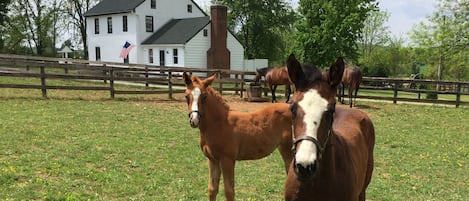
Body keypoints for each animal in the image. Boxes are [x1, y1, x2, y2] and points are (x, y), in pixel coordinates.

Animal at [182, 72, 292, 201]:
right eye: (186, 96)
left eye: (204, 97)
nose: (194, 120)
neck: (219, 123)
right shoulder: (212, 160)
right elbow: (212, 190)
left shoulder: (227, 160)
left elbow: (229, 191)